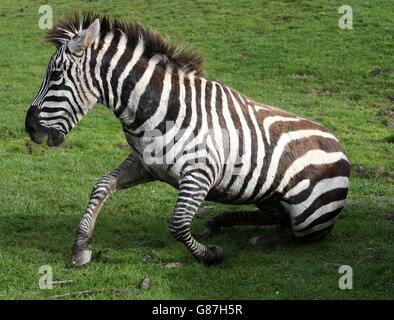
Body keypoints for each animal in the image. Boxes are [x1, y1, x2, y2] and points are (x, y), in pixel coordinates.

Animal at [25, 11, 350, 268]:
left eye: (56, 76)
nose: (30, 128)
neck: (158, 109)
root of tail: (337, 143)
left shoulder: (200, 173)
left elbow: (179, 223)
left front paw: (210, 255)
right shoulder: (143, 162)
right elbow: (101, 186)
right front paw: (81, 247)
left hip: (308, 219)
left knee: (292, 232)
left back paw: (258, 239)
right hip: (266, 196)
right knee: (277, 218)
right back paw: (221, 222)